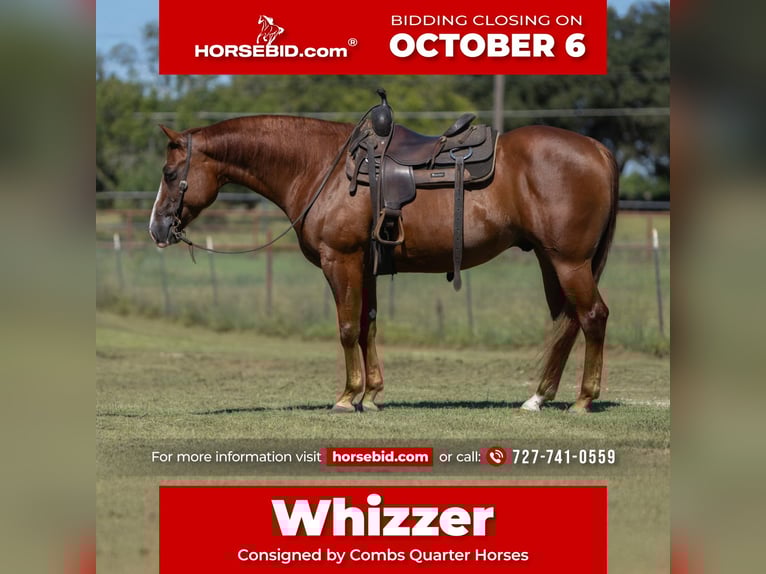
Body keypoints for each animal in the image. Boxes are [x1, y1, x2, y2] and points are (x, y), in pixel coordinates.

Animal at [149, 114, 618, 414]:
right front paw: (371, 394)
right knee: (568, 322)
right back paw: (538, 397)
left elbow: (346, 328)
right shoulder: (366, 266)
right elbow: (367, 326)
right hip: (552, 260)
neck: (321, 167)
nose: (157, 228)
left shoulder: (340, 260)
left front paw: (346, 397)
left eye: (170, 174)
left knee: (593, 316)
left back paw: (583, 400)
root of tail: (597, 149)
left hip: (569, 262)